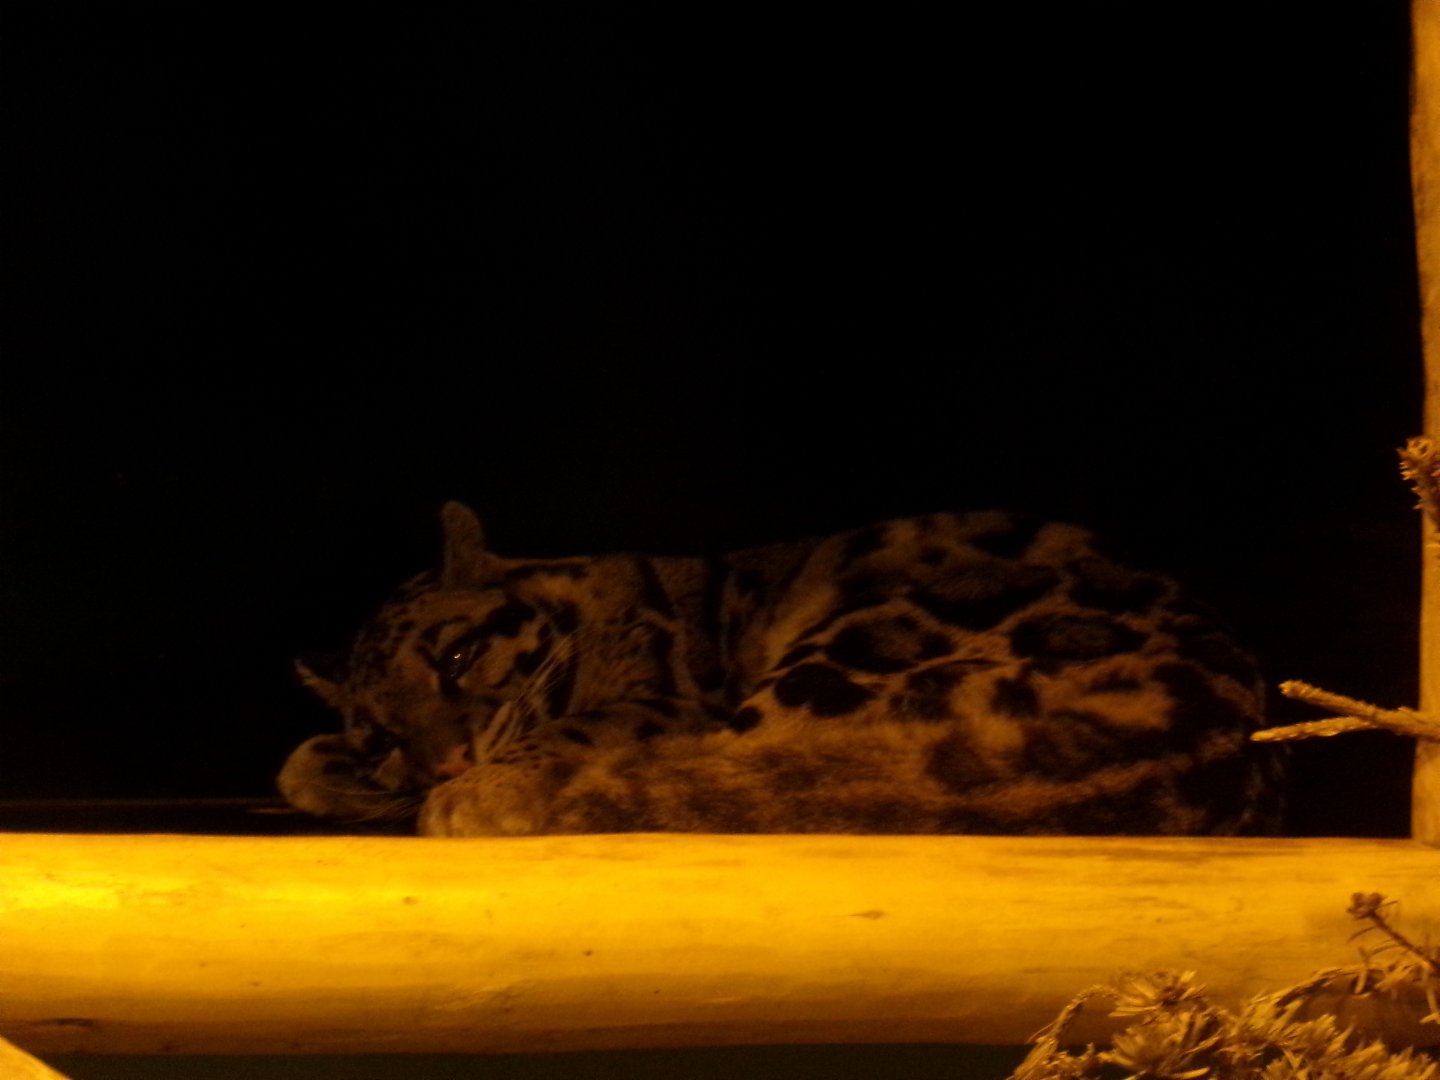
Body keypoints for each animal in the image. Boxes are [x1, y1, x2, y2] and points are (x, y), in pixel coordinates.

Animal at [278, 502, 1281, 836]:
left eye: (455, 657)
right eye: (383, 729)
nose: (444, 761)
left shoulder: (660, 699)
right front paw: (336, 766)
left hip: (846, 647)